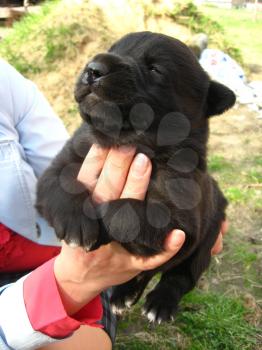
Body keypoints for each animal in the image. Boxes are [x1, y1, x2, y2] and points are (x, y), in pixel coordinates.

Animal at [36, 31, 235, 324]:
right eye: (113, 49)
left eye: (155, 69)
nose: (93, 68)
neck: (129, 142)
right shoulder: (64, 162)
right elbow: (62, 185)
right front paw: (77, 222)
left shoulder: (180, 216)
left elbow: (125, 211)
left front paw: (101, 217)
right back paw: (123, 295)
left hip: (207, 238)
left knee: (179, 276)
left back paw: (160, 304)